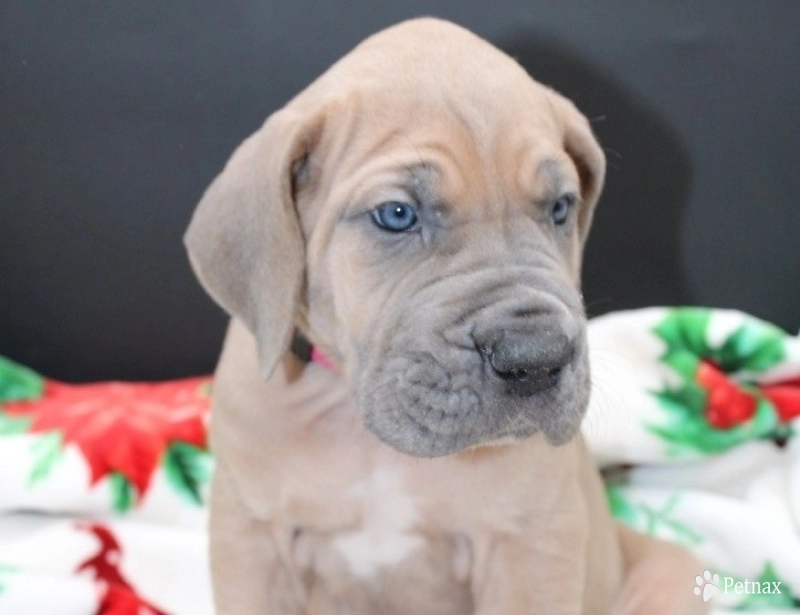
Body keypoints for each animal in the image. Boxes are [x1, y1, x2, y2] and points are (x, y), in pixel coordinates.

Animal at [184, 16, 704, 612]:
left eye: (560, 208)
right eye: (396, 214)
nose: (537, 359)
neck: (365, 436)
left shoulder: (530, 540)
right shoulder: (251, 535)